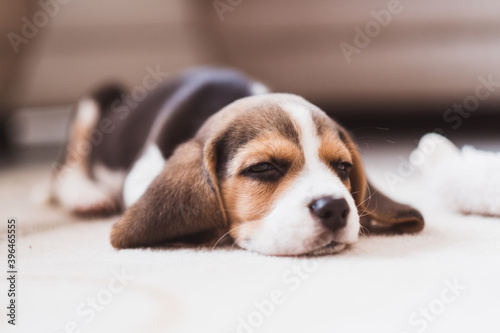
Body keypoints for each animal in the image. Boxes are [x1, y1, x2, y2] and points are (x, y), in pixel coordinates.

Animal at [52, 67, 424, 254]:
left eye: (343, 167)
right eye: (262, 168)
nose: (334, 208)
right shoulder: (139, 175)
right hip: (95, 98)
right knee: (67, 161)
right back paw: (85, 196)